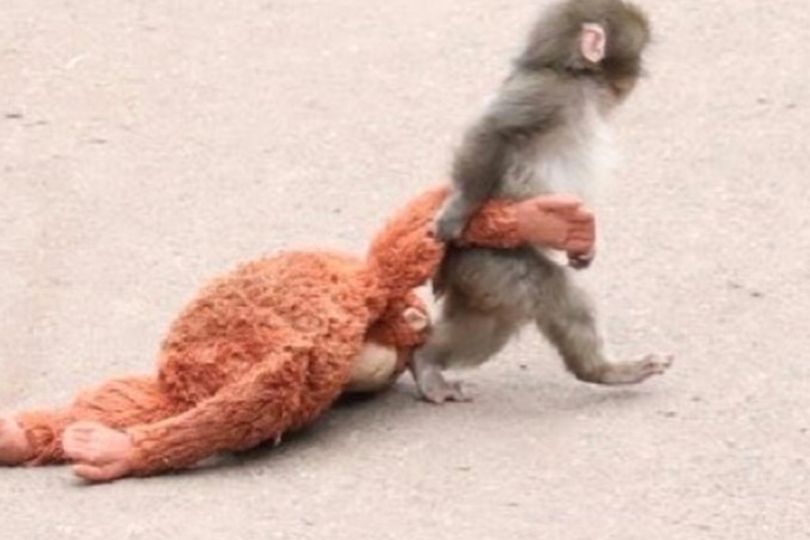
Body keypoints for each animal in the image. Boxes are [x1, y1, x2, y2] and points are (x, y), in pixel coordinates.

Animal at [411, 0, 673, 403]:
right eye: (639, 53)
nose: (640, 75)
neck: (571, 74)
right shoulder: (547, 93)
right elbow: (493, 130)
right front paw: (457, 211)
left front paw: (584, 250)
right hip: (489, 258)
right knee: (553, 293)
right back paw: (605, 371)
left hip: (481, 278)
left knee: (489, 323)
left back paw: (427, 358)